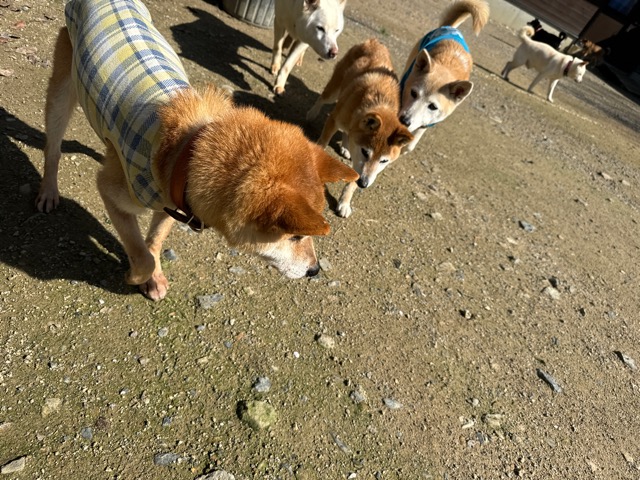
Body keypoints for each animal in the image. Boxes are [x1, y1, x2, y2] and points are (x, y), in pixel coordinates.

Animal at [36, 0, 358, 301]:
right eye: (296, 235)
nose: (314, 270)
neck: (188, 149)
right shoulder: (111, 192)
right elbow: (142, 254)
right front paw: (136, 275)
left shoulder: (174, 204)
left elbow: (154, 242)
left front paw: (154, 277)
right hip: (63, 92)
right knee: (53, 149)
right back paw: (48, 191)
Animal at [306, 38, 413, 218]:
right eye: (365, 152)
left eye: (384, 160)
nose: (364, 183)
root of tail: (374, 41)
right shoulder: (333, 120)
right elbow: (323, 143)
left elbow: (353, 182)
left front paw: (344, 202)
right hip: (334, 91)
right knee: (322, 98)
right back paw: (312, 114)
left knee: (347, 133)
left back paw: (345, 147)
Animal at [398, 0, 489, 154]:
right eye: (413, 93)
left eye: (433, 106)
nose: (404, 121)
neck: (447, 68)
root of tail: (450, 28)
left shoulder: (427, 122)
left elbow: (411, 142)